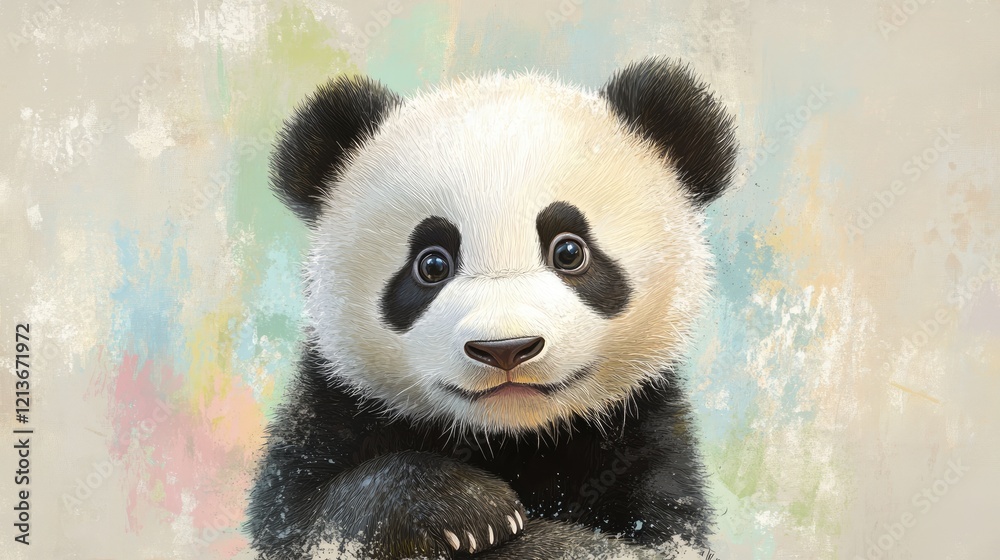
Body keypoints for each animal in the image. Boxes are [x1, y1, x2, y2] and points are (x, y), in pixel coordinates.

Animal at [246, 57, 737, 560]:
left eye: (569, 252)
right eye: (432, 264)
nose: (506, 349)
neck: (510, 437)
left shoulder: (647, 440)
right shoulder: (333, 408)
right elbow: (306, 518)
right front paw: (469, 509)